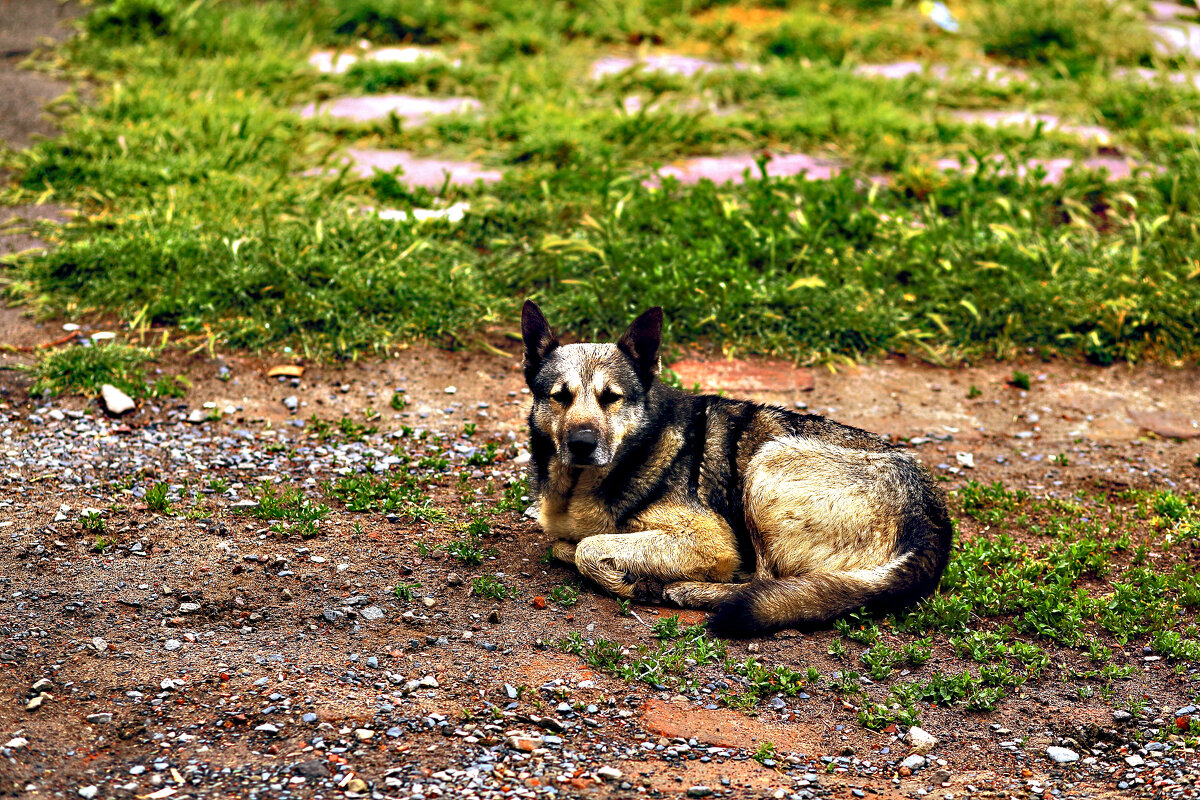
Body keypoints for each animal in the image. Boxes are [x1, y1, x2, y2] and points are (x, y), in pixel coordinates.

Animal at [520, 299, 950, 638]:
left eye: (611, 397)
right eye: (560, 396)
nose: (582, 443)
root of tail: (933, 521)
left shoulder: (711, 540)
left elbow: (587, 549)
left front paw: (634, 582)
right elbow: (566, 546)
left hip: (767, 464)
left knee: (764, 583)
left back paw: (689, 589)